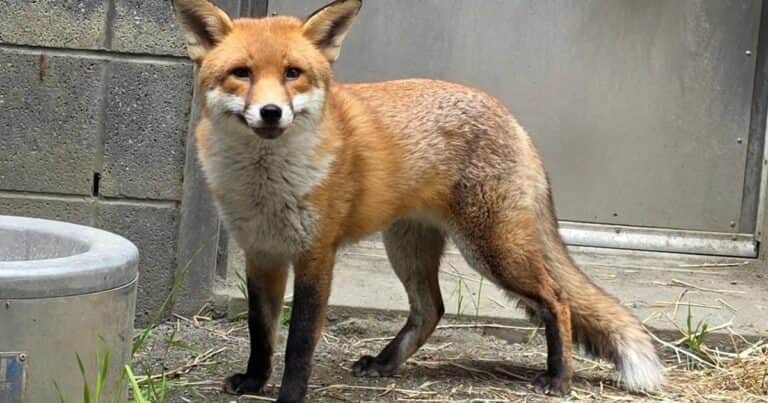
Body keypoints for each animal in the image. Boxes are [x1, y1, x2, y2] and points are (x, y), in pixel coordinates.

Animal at [171, 0, 665, 401]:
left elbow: (299, 345)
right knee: (431, 309)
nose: (271, 113)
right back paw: (385, 363)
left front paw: (290, 396)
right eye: (242, 73)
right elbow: (260, 332)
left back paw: (559, 378)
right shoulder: (262, 253)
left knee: (557, 299)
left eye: (293, 73)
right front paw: (255, 381)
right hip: (408, 247)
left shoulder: (316, 256)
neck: (265, 185)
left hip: (493, 250)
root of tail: (511, 117)